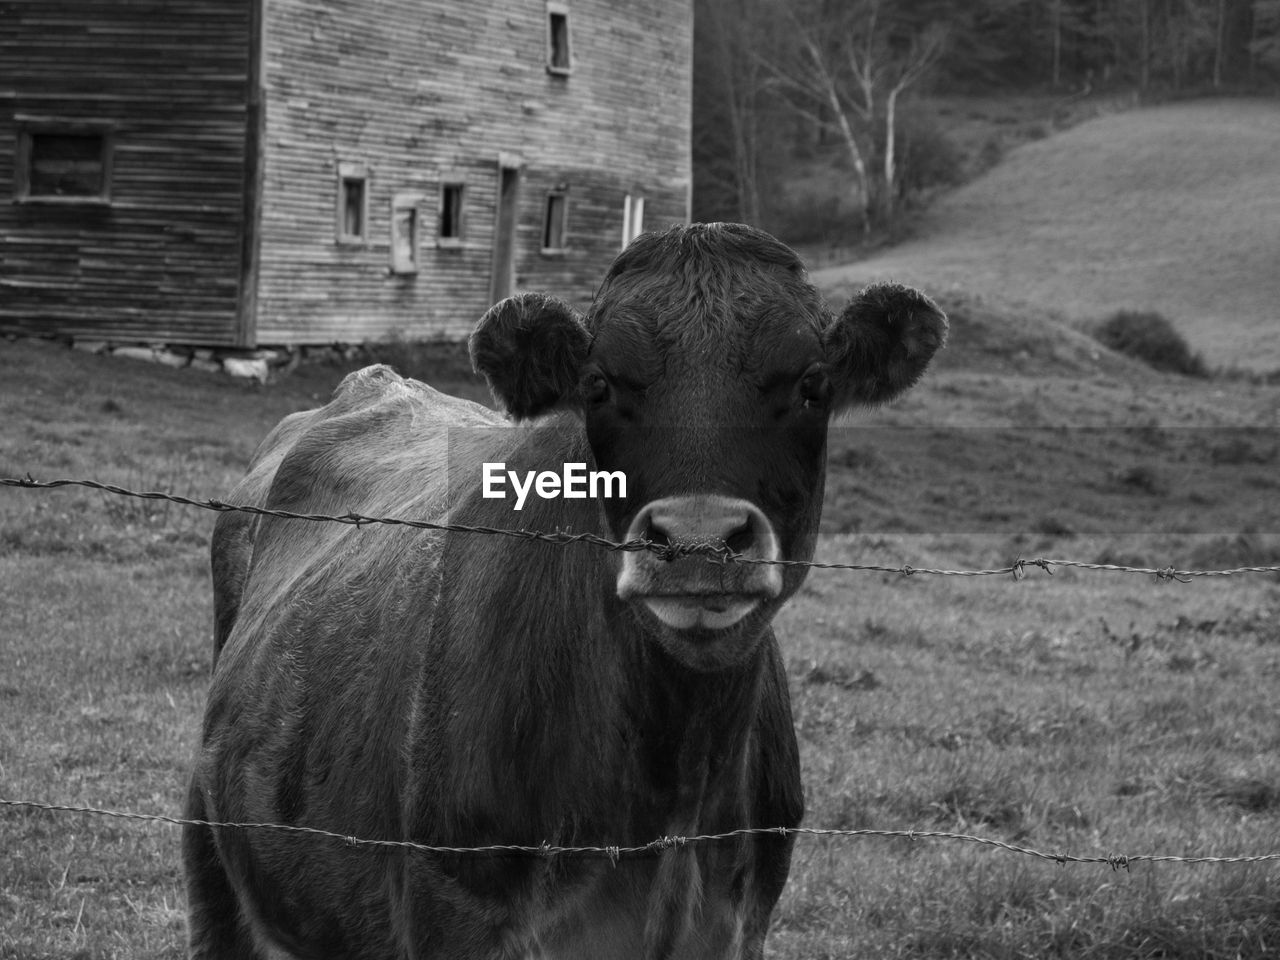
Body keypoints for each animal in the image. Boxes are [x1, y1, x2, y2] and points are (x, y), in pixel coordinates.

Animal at [180, 221, 947, 957]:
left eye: (813, 384)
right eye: (599, 385)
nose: (698, 540)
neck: (678, 777)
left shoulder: (741, 923)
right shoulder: (453, 908)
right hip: (213, 856)